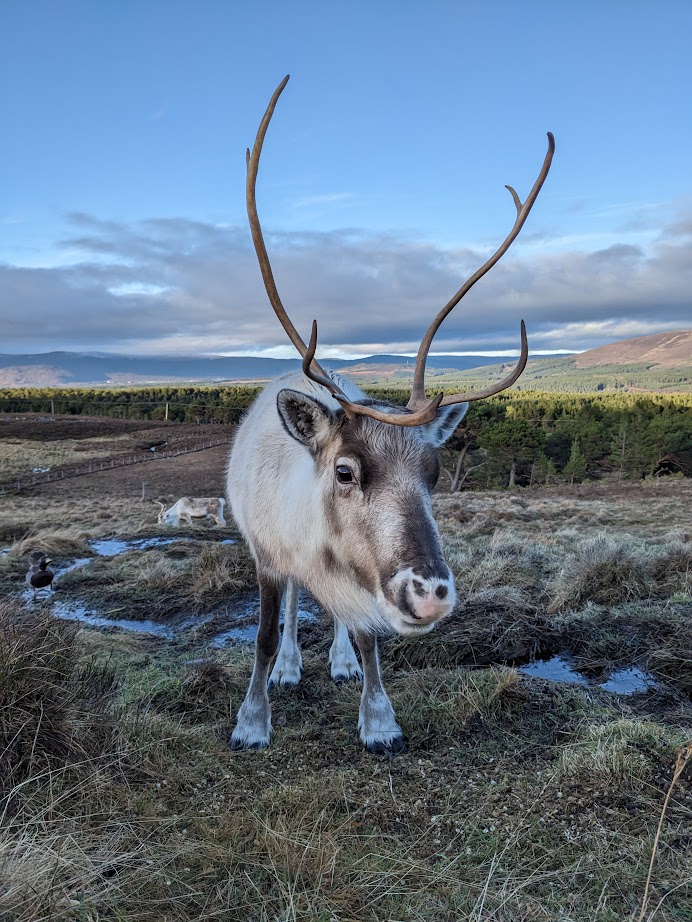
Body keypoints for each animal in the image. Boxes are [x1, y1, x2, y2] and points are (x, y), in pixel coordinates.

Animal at [227, 76, 554, 752]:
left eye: (435, 473)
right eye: (346, 471)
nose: (430, 596)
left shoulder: (363, 579)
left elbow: (371, 635)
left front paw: (378, 718)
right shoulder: (268, 557)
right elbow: (265, 637)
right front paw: (252, 719)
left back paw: (338, 659)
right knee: (294, 609)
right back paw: (293, 667)